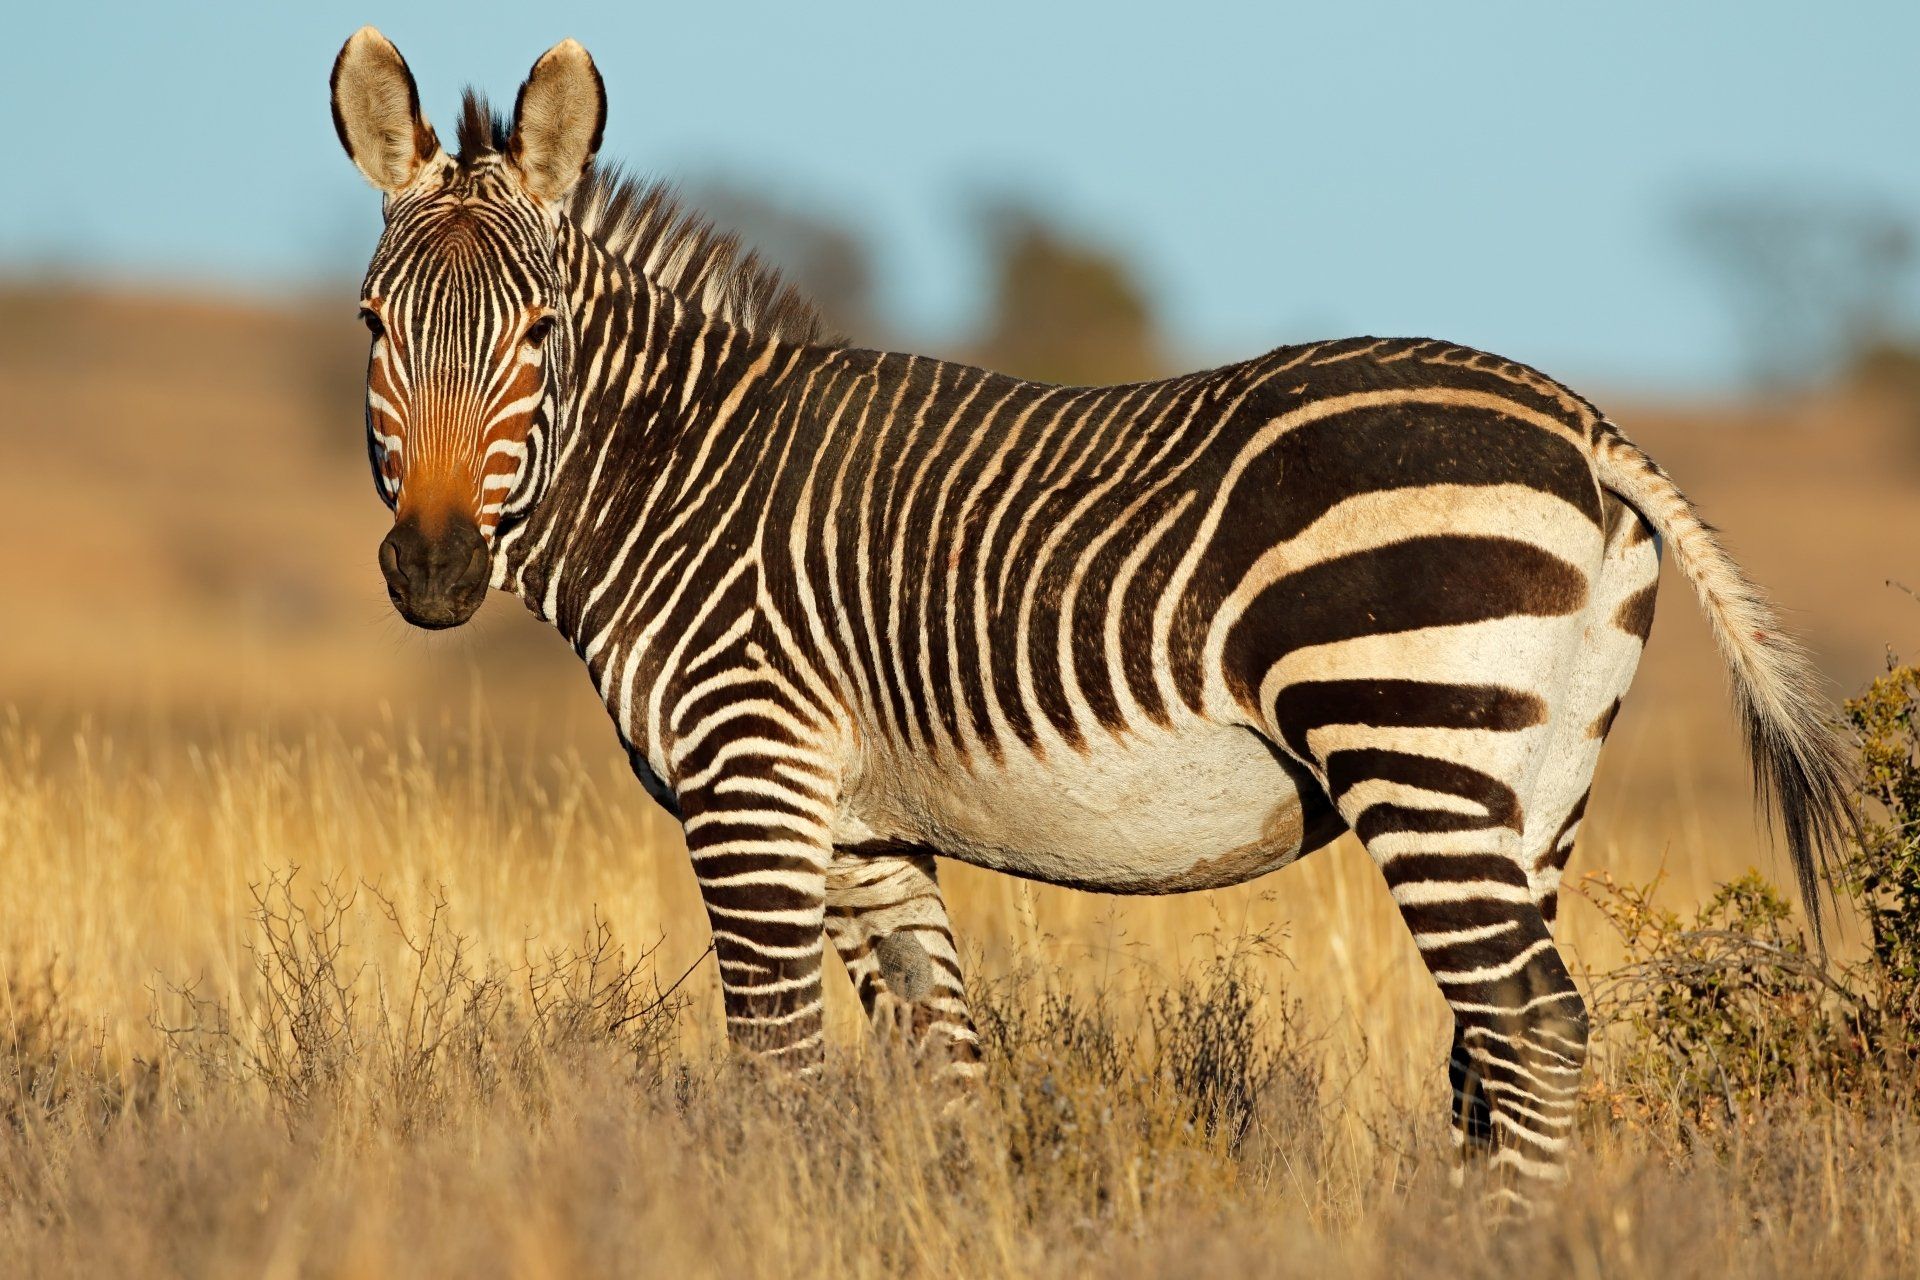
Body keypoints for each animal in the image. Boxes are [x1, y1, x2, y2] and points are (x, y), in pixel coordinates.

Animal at [330, 28, 1857, 1206]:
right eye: (372, 326)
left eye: (539, 334)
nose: (435, 571)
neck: (678, 472)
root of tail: (1582, 420)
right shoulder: (867, 828)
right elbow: (942, 1071)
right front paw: (943, 1229)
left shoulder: (749, 780)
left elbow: (779, 1076)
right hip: (1535, 774)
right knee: (1488, 1040)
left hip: (1409, 732)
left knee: (1532, 1025)